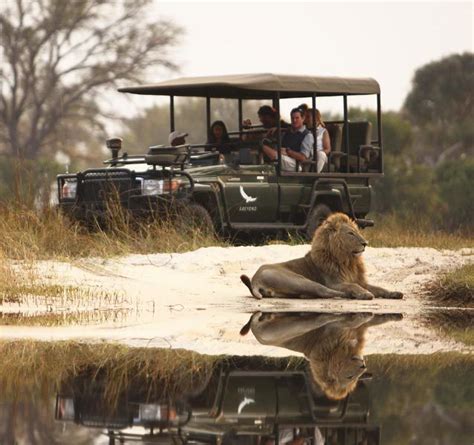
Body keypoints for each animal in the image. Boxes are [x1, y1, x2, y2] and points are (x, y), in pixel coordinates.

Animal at [239, 310, 402, 400]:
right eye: (350, 377)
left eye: (357, 377)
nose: (363, 366)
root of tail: (255, 332)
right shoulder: (339, 328)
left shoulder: (357, 331)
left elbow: (378, 319)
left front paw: (395, 316)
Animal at [241, 211, 404, 298]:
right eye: (350, 233)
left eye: (357, 231)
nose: (366, 243)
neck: (348, 261)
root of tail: (255, 279)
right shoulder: (335, 282)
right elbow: (353, 286)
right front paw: (365, 293)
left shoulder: (360, 280)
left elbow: (380, 288)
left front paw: (395, 293)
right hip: (300, 280)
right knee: (325, 291)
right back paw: (349, 296)